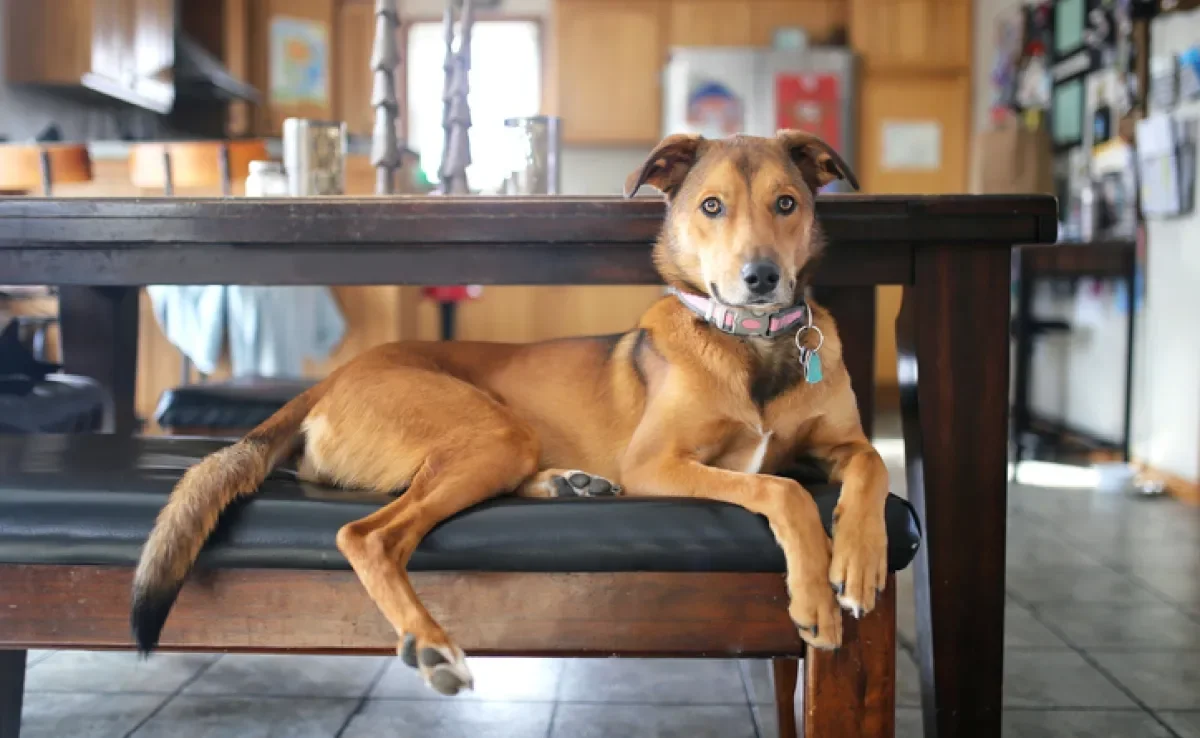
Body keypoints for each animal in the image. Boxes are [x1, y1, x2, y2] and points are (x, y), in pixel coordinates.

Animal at [131, 131, 892, 700]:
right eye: (711, 206)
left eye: (787, 203)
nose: (761, 278)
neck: (755, 346)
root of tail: (332, 379)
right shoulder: (658, 465)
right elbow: (783, 489)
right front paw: (816, 597)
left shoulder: (841, 443)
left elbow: (872, 463)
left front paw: (858, 562)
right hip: (491, 432)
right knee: (367, 536)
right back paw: (432, 644)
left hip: (501, 445)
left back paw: (571, 484)